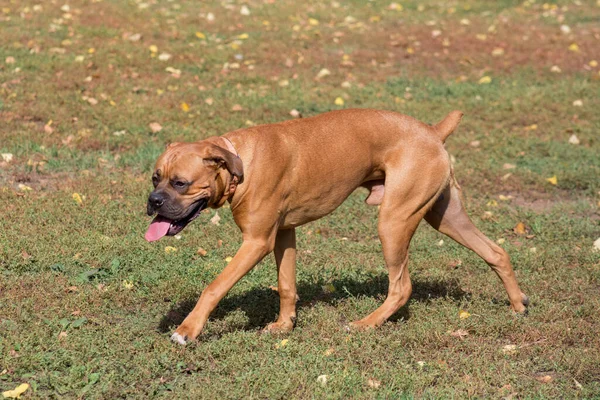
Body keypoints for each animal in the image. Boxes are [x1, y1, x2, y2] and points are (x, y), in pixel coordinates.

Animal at [145, 108, 528, 344]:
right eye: (155, 178)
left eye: (180, 183)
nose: (153, 202)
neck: (240, 161)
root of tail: (434, 132)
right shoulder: (283, 235)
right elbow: (286, 285)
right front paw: (284, 326)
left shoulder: (256, 242)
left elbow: (214, 287)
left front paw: (187, 330)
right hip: (446, 217)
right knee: (496, 252)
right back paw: (518, 305)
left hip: (393, 221)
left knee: (401, 286)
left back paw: (366, 324)